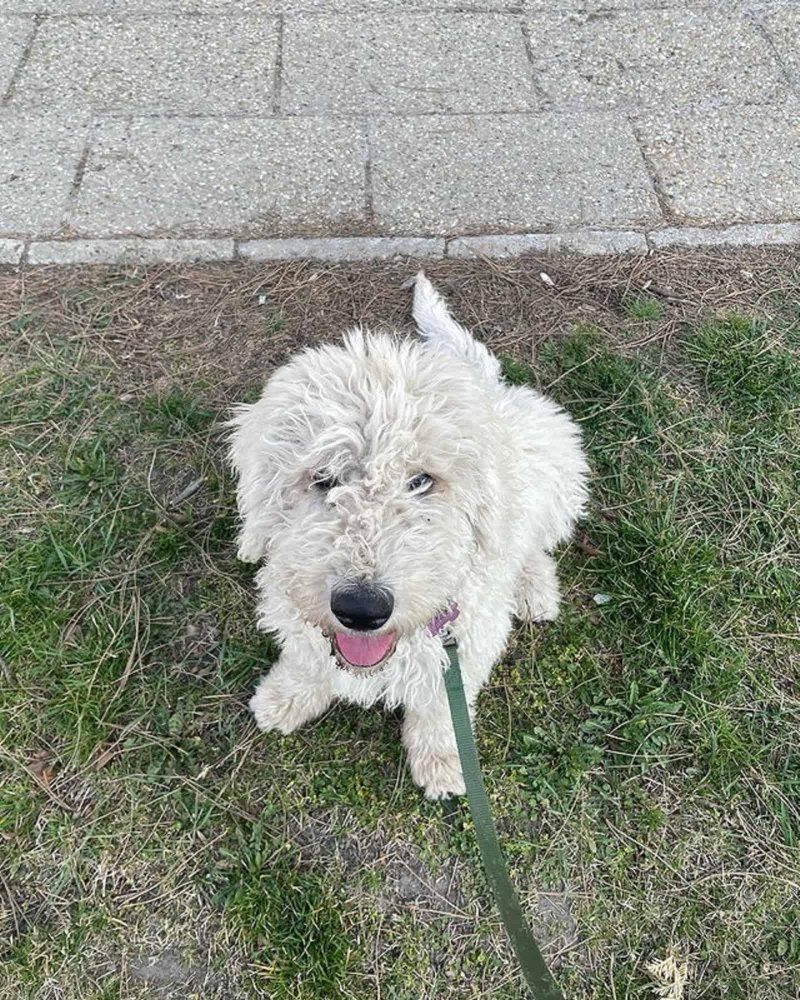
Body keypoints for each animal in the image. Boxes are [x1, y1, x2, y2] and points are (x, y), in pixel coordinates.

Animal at [227, 272, 588, 796]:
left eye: (421, 482)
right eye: (323, 479)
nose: (361, 609)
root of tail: (489, 386)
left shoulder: (465, 644)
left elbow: (439, 707)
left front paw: (442, 761)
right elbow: (308, 658)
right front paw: (285, 698)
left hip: (555, 490)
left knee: (533, 546)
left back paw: (534, 589)